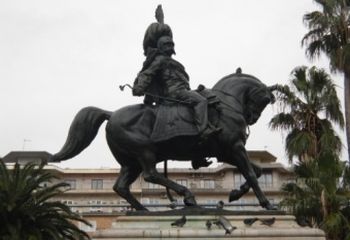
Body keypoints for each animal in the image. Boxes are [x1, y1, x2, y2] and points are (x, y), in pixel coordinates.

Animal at [50, 72, 276, 211]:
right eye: (265, 100)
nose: (251, 118)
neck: (225, 105)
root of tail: (111, 114)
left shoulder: (226, 152)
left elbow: (257, 170)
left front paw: (236, 193)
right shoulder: (235, 148)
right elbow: (251, 173)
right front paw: (267, 204)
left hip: (130, 162)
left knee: (121, 186)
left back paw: (143, 209)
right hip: (144, 152)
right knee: (151, 175)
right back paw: (186, 195)